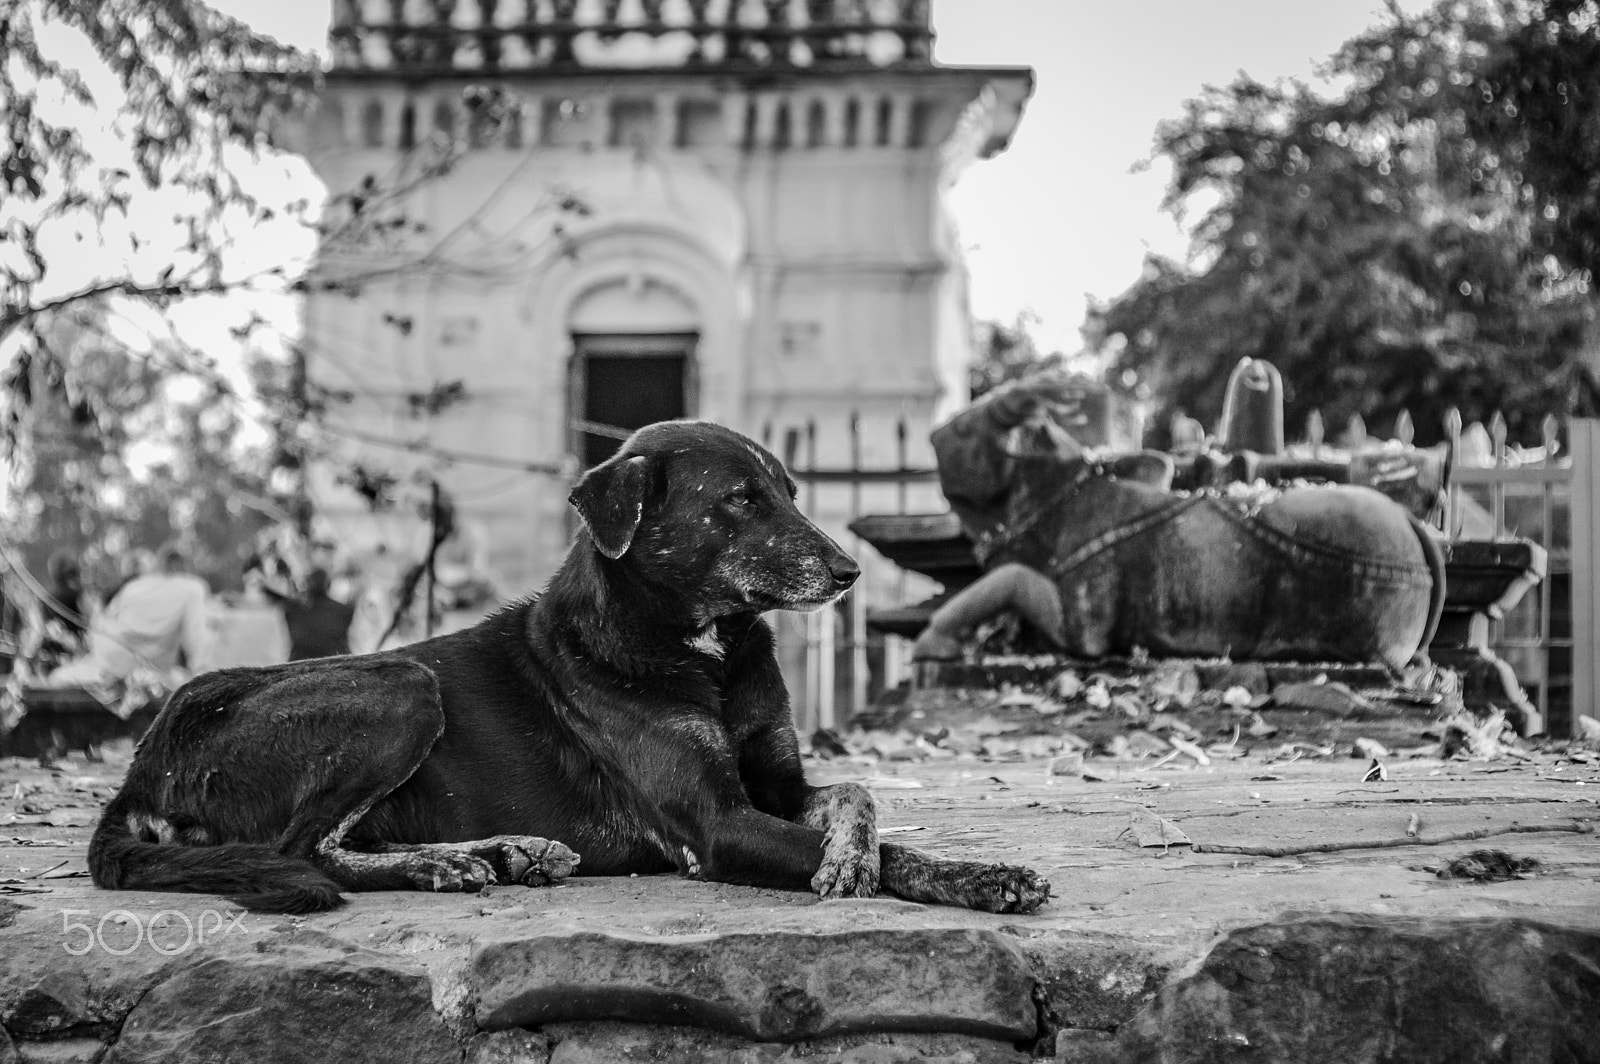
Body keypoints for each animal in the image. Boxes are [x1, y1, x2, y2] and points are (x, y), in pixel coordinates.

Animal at [93, 422, 1056, 915]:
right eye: (741, 499)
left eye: (789, 490)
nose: (851, 570)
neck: (702, 649)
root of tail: (141, 767)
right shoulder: (716, 827)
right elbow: (884, 850)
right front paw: (887, 870)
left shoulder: (779, 781)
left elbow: (861, 803)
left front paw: (951, 868)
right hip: (400, 684)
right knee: (303, 849)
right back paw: (446, 867)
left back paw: (505, 852)